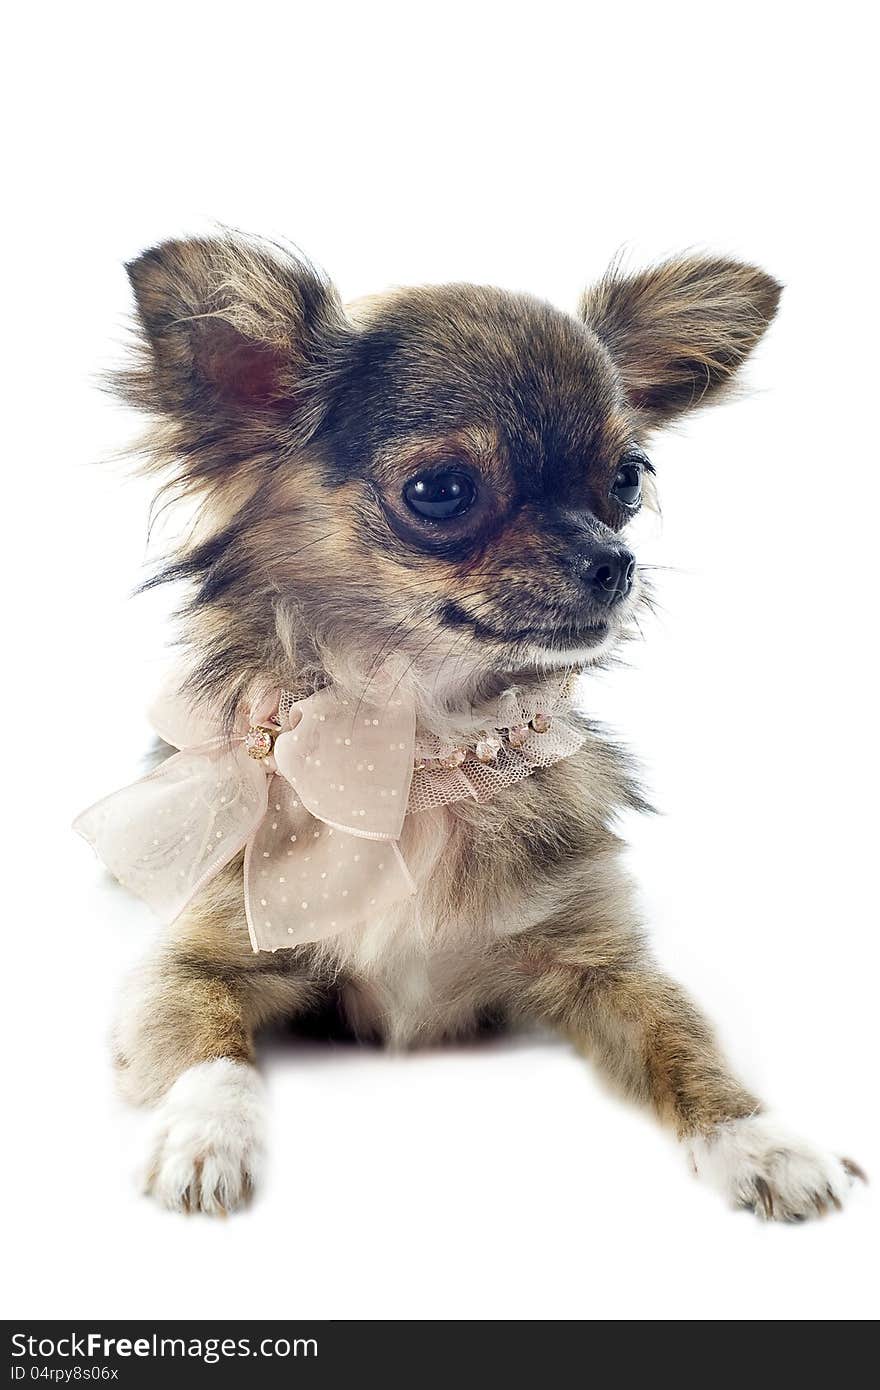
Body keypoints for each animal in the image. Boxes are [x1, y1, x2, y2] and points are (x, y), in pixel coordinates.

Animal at [92, 236, 861, 1217]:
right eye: (442, 490)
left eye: (627, 479)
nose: (616, 561)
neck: (415, 749)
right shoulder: (195, 964)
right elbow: (207, 1046)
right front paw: (206, 1136)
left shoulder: (604, 965)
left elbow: (684, 1042)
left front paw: (762, 1140)